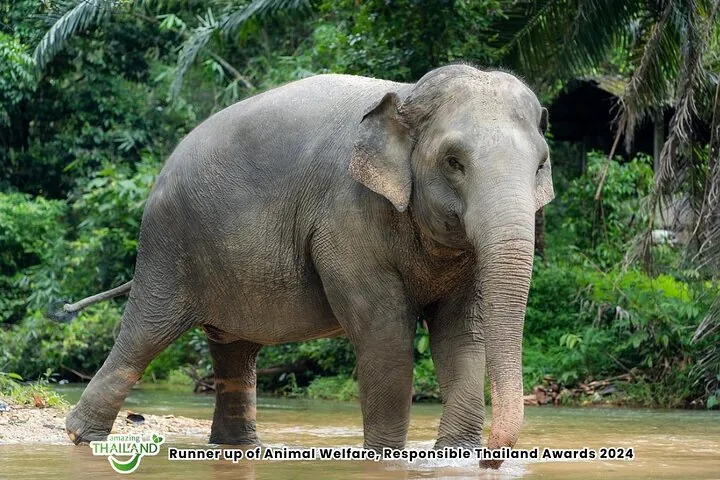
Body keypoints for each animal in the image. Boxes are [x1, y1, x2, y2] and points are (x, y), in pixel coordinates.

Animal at [62, 63, 553, 469]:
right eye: (454, 162)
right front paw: (385, 460)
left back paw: (237, 448)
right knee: (145, 334)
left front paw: (454, 458)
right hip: (167, 247)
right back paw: (82, 438)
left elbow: (460, 334)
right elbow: (385, 333)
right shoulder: (345, 216)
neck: (407, 93)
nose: (492, 458)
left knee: (234, 350)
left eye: (540, 165)